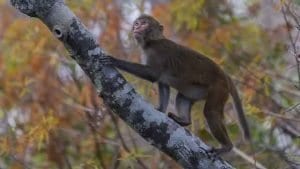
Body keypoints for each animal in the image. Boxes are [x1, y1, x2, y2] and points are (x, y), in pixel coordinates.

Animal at [109, 14, 250, 156]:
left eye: (144, 23)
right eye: (137, 23)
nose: (136, 27)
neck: (152, 41)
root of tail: (225, 75)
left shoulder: (157, 52)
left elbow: (153, 74)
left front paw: (115, 60)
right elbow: (163, 83)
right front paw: (161, 109)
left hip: (219, 88)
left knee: (210, 112)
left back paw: (227, 147)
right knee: (182, 97)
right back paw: (185, 120)